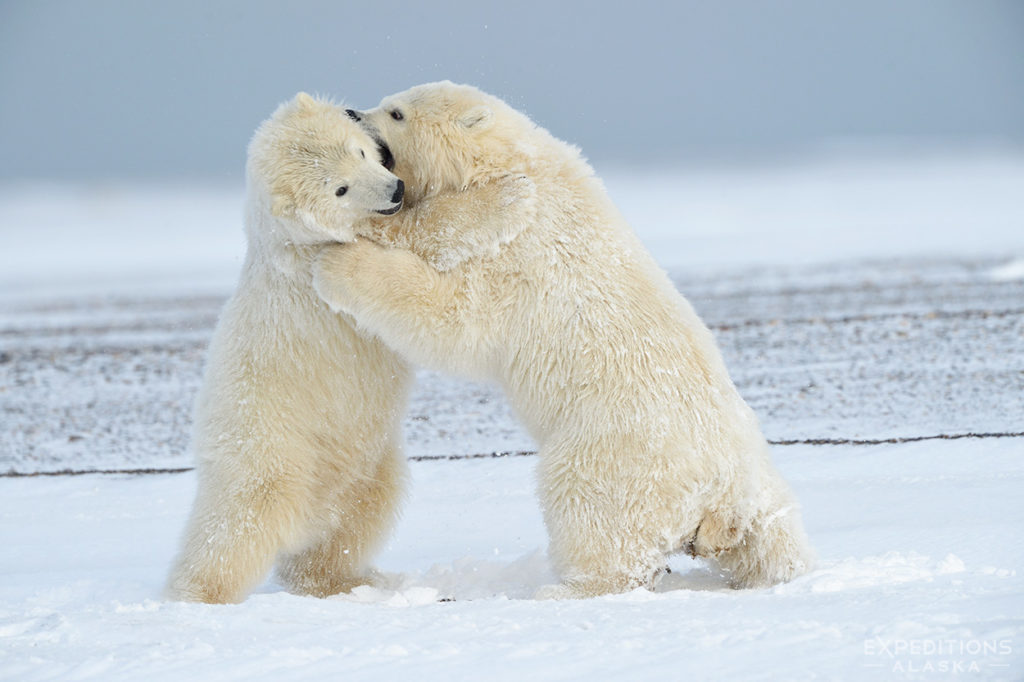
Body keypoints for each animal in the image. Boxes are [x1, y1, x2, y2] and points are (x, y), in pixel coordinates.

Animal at [163, 93, 411, 602]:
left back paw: (349, 578)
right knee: (235, 529)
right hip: (267, 450)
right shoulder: (324, 277)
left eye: (359, 152)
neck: (289, 241)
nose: (395, 190)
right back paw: (198, 594)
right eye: (339, 190)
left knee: (354, 521)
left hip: (366, 467)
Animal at [315, 80, 811, 593]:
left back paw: (564, 588)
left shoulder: (517, 257)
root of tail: (723, 493)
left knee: (590, 515)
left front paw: (343, 267)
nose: (352, 111)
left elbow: (455, 321)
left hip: (613, 454)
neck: (515, 165)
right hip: (762, 485)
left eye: (396, 112)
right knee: (774, 540)